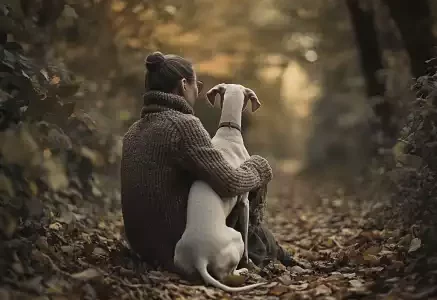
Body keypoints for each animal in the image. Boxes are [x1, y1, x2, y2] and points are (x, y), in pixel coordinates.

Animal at [173, 83, 262, 292]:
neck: (228, 132)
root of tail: (200, 257)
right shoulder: (244, 202)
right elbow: (246, 233)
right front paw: (248, 262)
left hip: (179, 258)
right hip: (235, 238)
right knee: (225, 274)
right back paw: (242, 271)